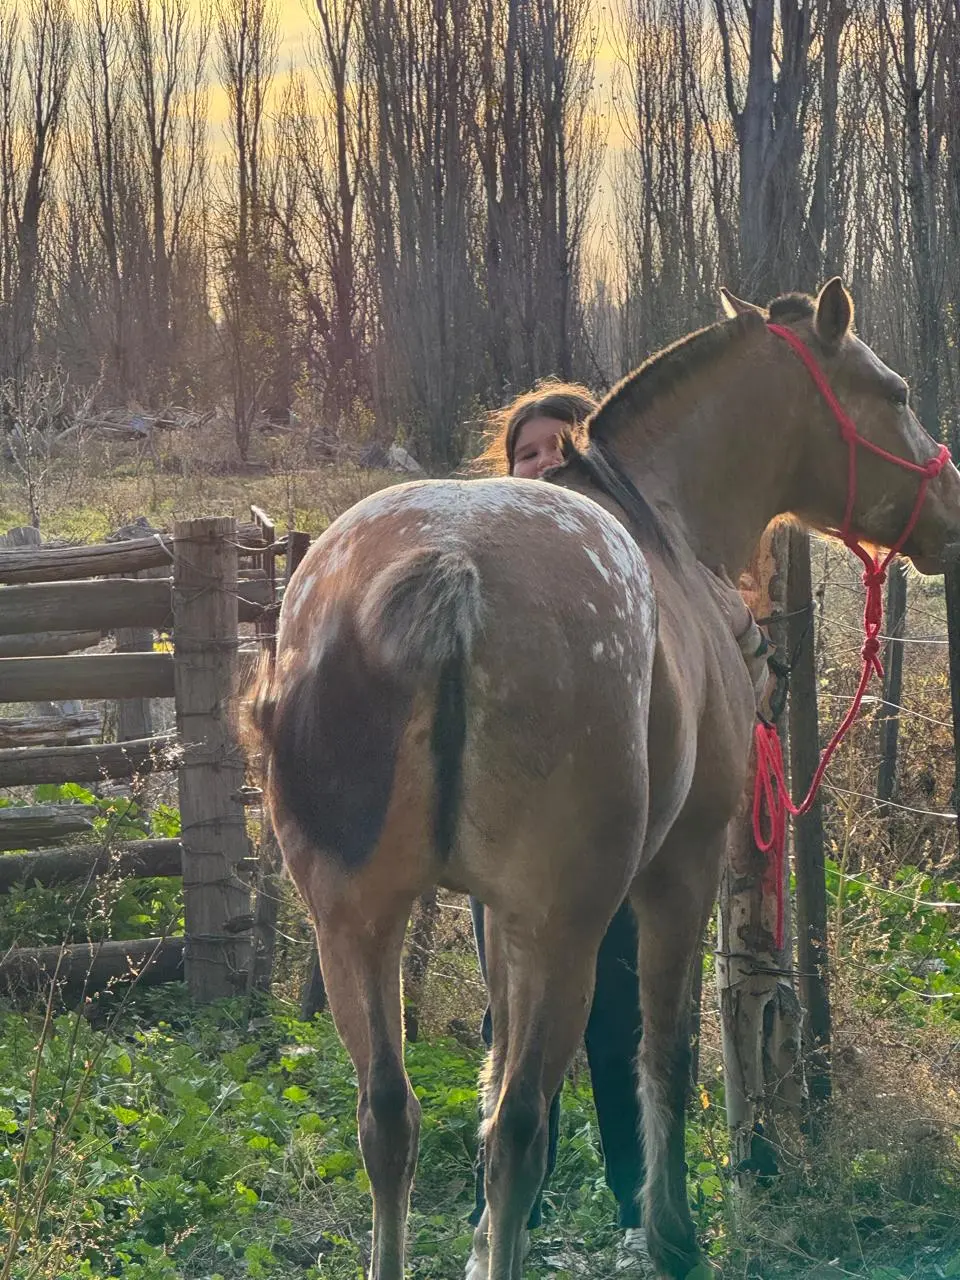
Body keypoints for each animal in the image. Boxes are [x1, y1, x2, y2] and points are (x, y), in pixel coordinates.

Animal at [245, 279, 960, 1280]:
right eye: (892, 391)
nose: (951, 503)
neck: (663, 524)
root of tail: (447, 567)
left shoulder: (497, 913)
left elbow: (488, 1067)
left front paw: (481, 1246)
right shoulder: (679, 871)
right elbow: (664, 1051)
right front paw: (671, 1236)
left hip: (357, 924)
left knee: (389, 1117)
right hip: (566, 930)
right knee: (520, 1128)